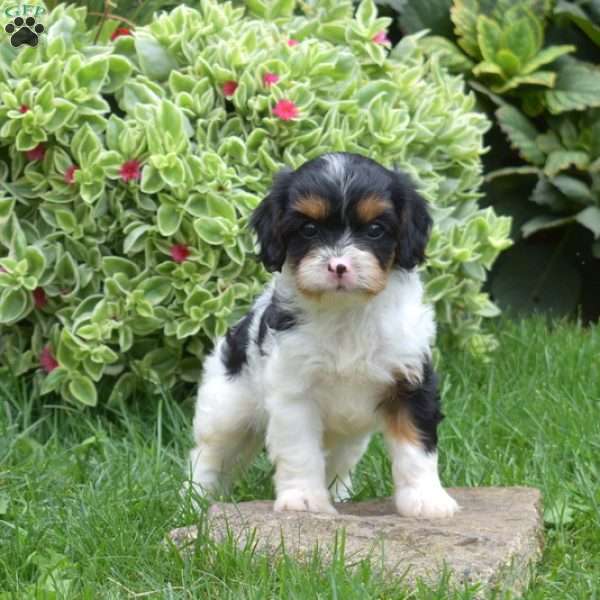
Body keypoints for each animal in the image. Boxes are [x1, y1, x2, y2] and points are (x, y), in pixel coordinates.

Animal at [188, 152, 460, 516]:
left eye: (375, 230)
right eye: (309, 229)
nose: (338, 266)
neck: (346, 313)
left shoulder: (412, 381)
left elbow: (416, 448)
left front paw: (426, 499)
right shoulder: (294, 395)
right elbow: (300, 451)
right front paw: (304, 500)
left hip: (349, 436)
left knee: (338, 463)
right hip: (226, 410)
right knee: (208, 457)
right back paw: (193, 504)